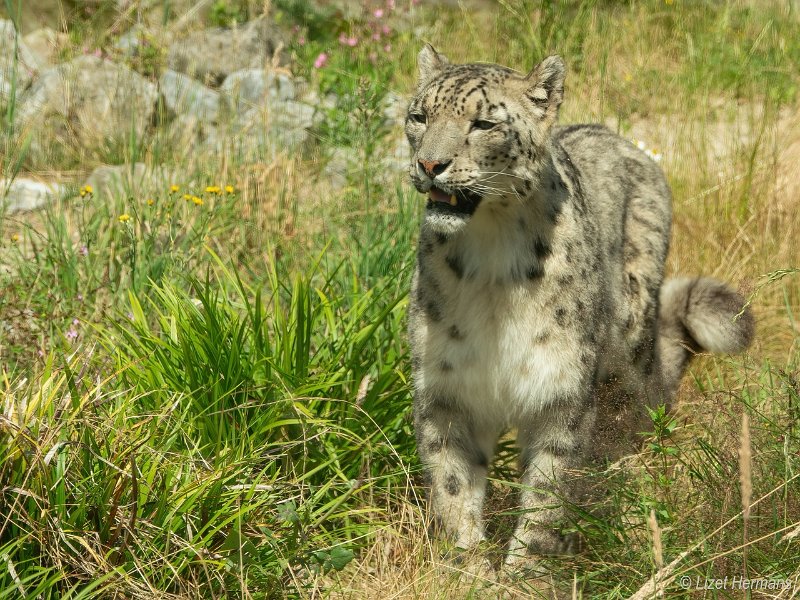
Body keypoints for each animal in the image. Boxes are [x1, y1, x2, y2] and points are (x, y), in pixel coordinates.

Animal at [406, 44, 756, 568]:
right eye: (419, 116)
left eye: (484, 123)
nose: (430, 164)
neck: (490, 261)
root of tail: (622, 139)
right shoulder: (446, 387)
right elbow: (452, 485)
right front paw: (468, 568)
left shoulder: (561, 385)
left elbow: (548, 494)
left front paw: (525, 572)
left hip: (627, 343)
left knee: (632, 418)